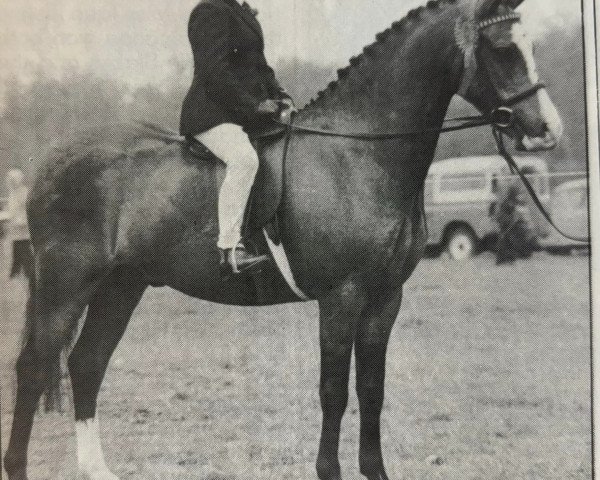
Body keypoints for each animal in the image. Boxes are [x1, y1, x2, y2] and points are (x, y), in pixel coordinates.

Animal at [3, 0, 564, 480]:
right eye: (502, 48)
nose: (547, 130)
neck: (359, 155)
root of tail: (52, 160)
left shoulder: (386, 297)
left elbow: (373, 388)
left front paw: (374, 469)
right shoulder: (342, 296)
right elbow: (334, 390)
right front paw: (329, 471)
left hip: (122, 286)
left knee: (86, 363)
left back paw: (95, 468)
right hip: (67, 285)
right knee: (33, 367)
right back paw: (19, 465)